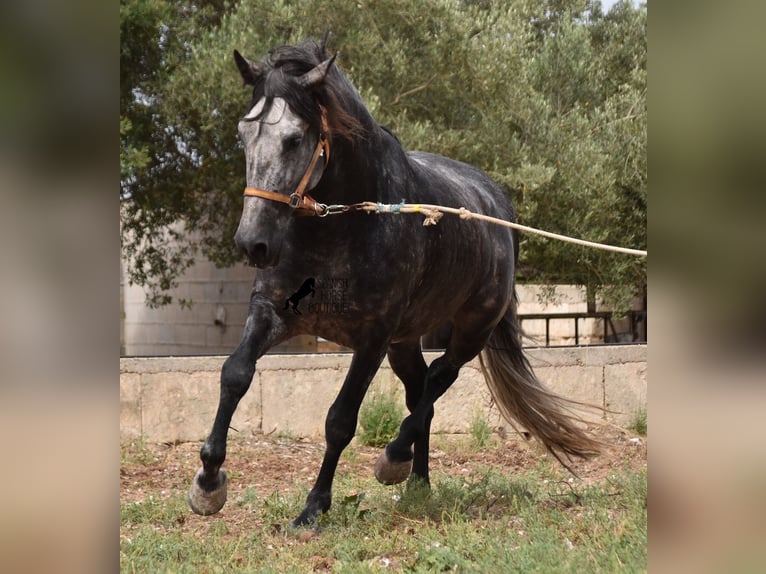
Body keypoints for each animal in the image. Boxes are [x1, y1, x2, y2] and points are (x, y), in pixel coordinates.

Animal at [188, 38, 608, 528]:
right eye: (243, 135)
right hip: (406, 342)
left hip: (470, 331)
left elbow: (340, 420)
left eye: (293, 139)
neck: (341, 226)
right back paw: (418, 482)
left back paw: (394, 459)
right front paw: (208, 484)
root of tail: (497, 206)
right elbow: (235, 373)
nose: (253, 243)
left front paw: (313, 507)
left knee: (437, 382)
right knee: (419, 390)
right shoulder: (273, 311)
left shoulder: (372, 337)